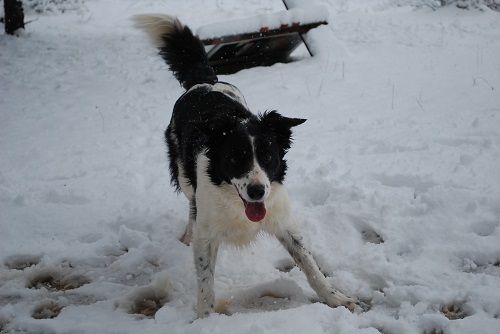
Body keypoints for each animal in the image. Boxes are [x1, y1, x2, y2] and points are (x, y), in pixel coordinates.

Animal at [133, 14, 360, 318]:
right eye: (234, 158)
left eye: (268, 157)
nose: (256, 192)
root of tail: (205, 83)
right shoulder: (207, 235)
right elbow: (206, 284)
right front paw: (205, 320)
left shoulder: (283, 220)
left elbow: (310, 265)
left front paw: (338, 299)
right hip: (182, 173)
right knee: (190, 204)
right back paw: (187, 232)